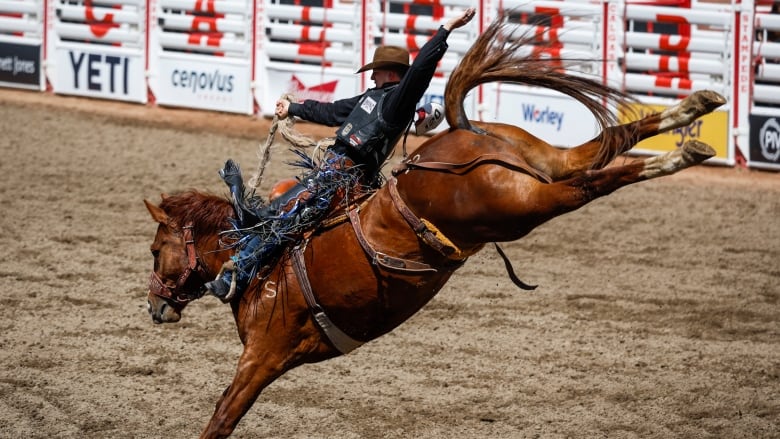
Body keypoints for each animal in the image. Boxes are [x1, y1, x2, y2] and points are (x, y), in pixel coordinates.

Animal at [145, 18, 724, 438]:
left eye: (154, 250)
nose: (153, 306)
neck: (260, 259)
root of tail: (464, 137)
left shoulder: (263, 355)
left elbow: (222, 416)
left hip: (525, 206)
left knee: (593, 183)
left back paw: (684, 148)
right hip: (538, 166)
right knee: (602, 146)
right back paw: (694, 113)